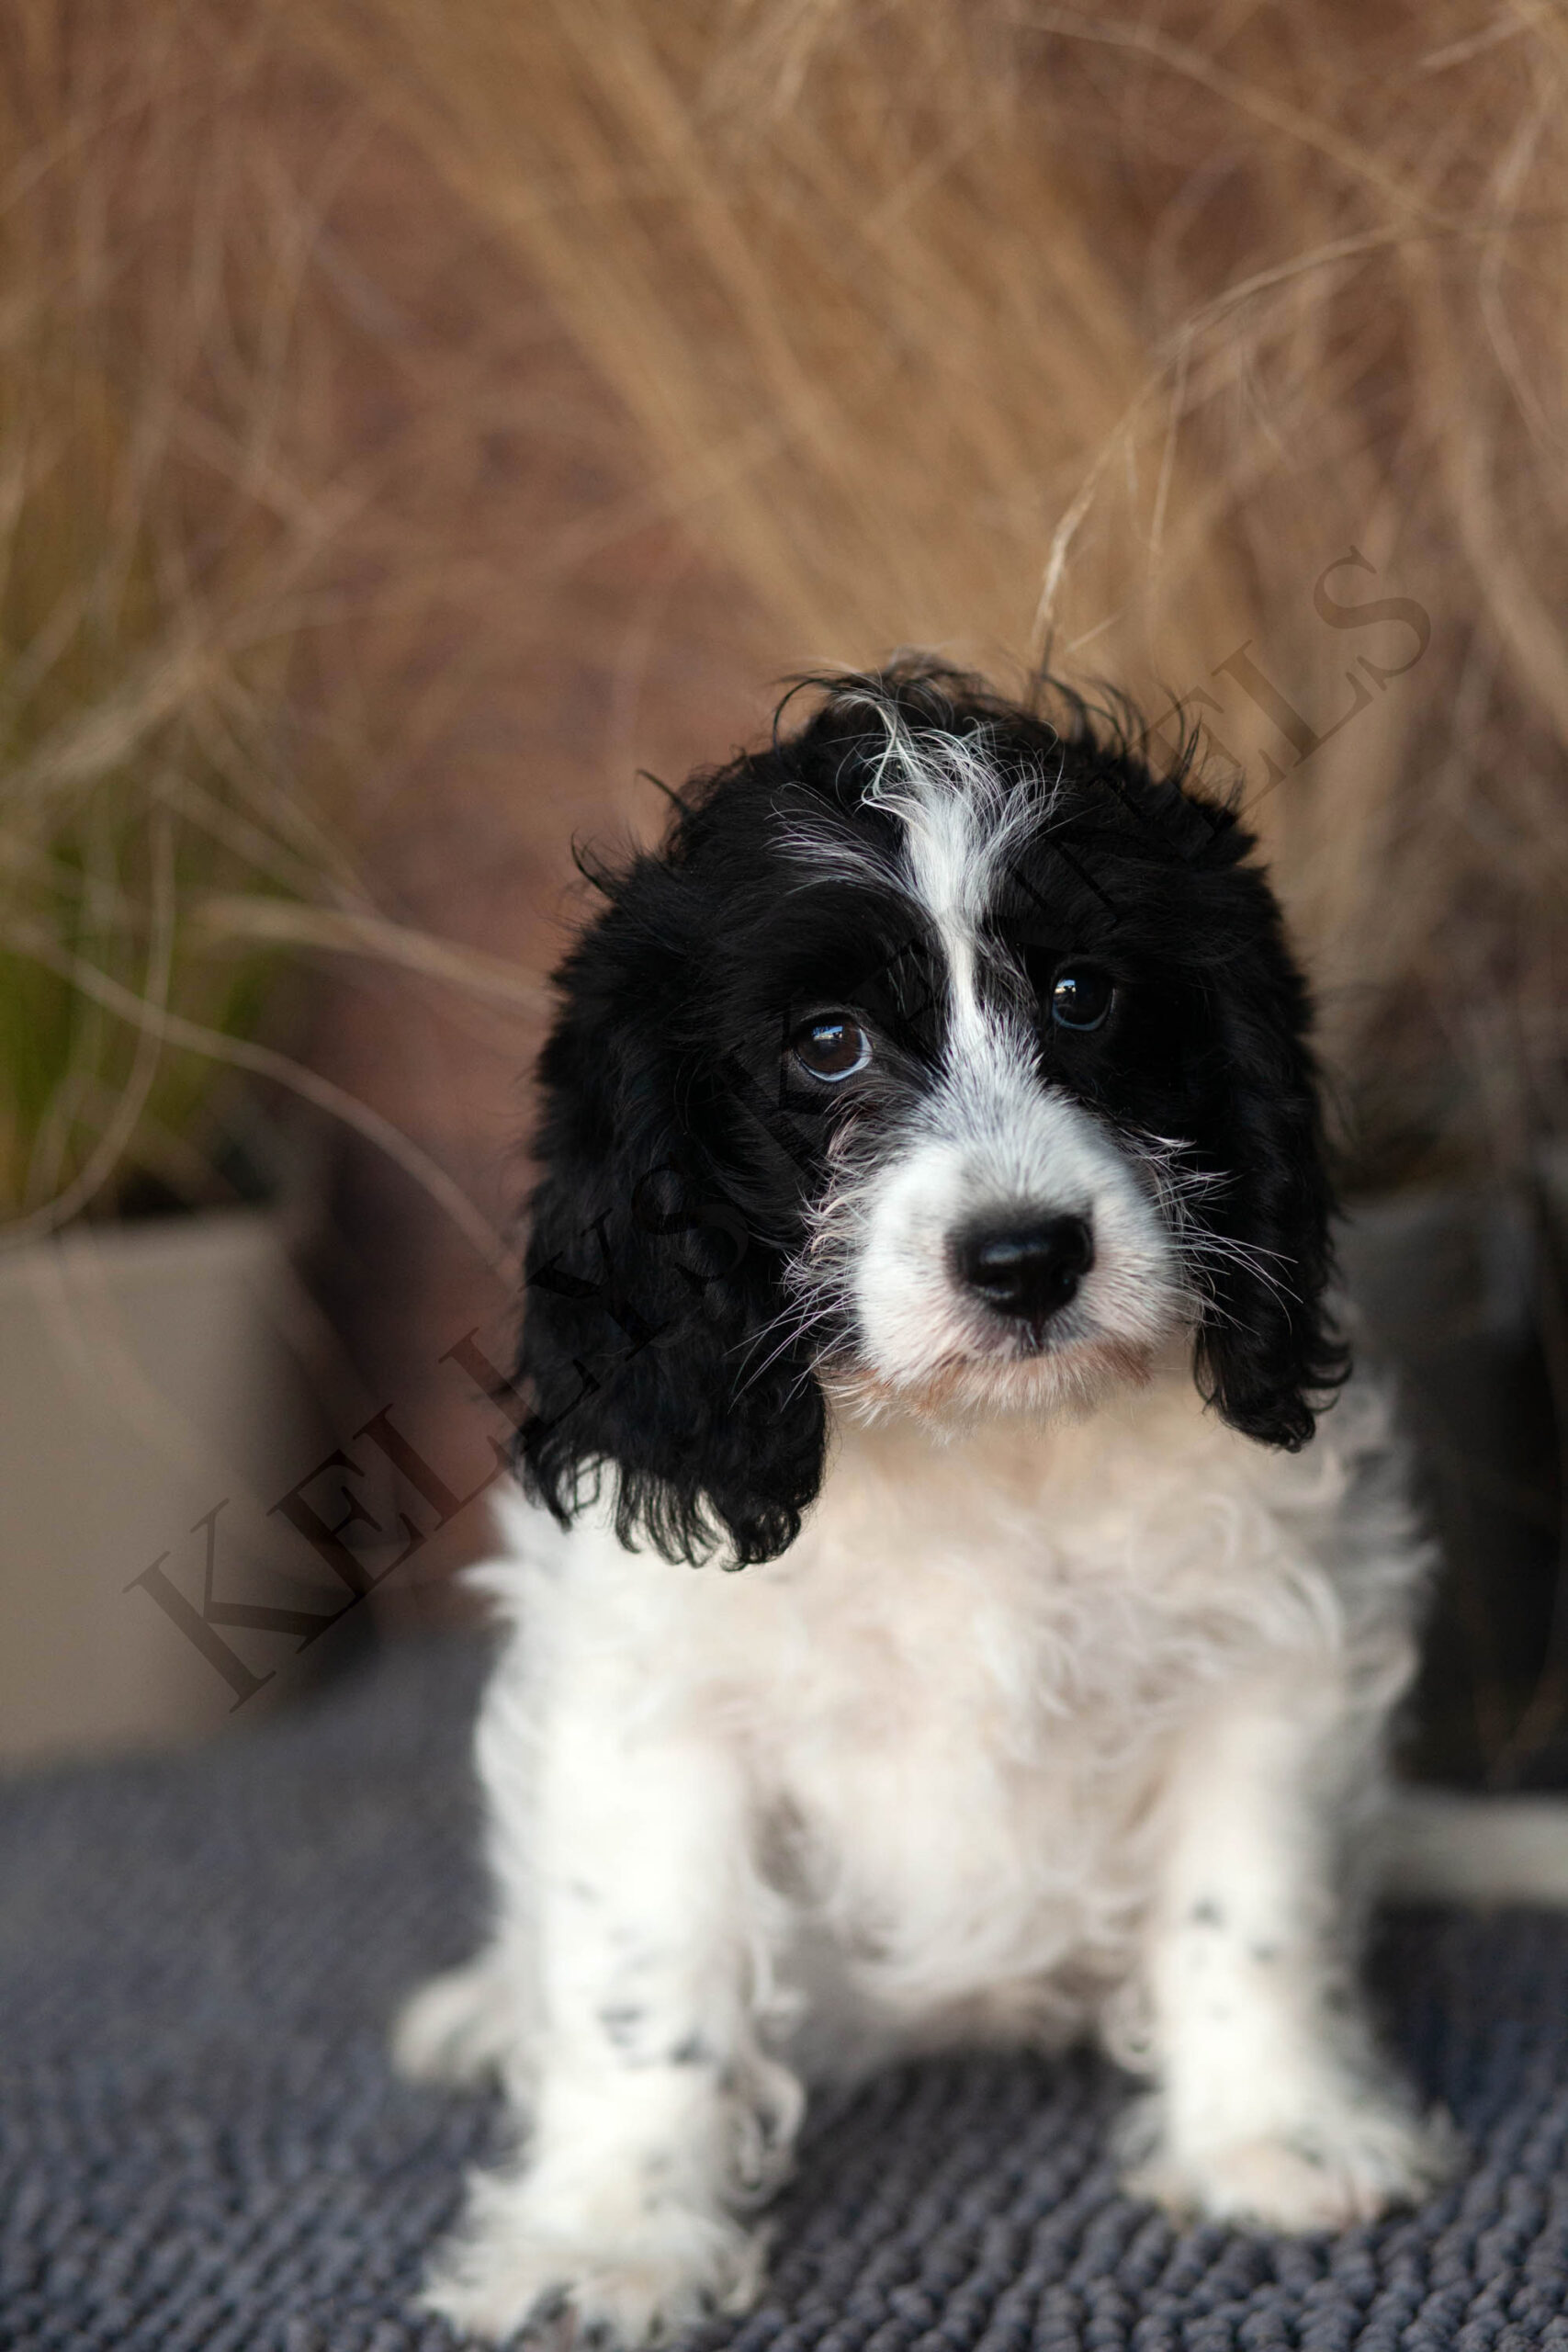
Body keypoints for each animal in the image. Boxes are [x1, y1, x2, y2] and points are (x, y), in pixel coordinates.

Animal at [395, 661, 1457, 2345]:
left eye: (1083, 996)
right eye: (826, 1043)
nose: (1025, 1259)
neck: (981, 1448)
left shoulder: (1264, 1643)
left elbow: (1250, 1905)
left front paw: (1272, 2134)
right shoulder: (654, 1703)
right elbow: (646, 1979)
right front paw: (605, 2236)